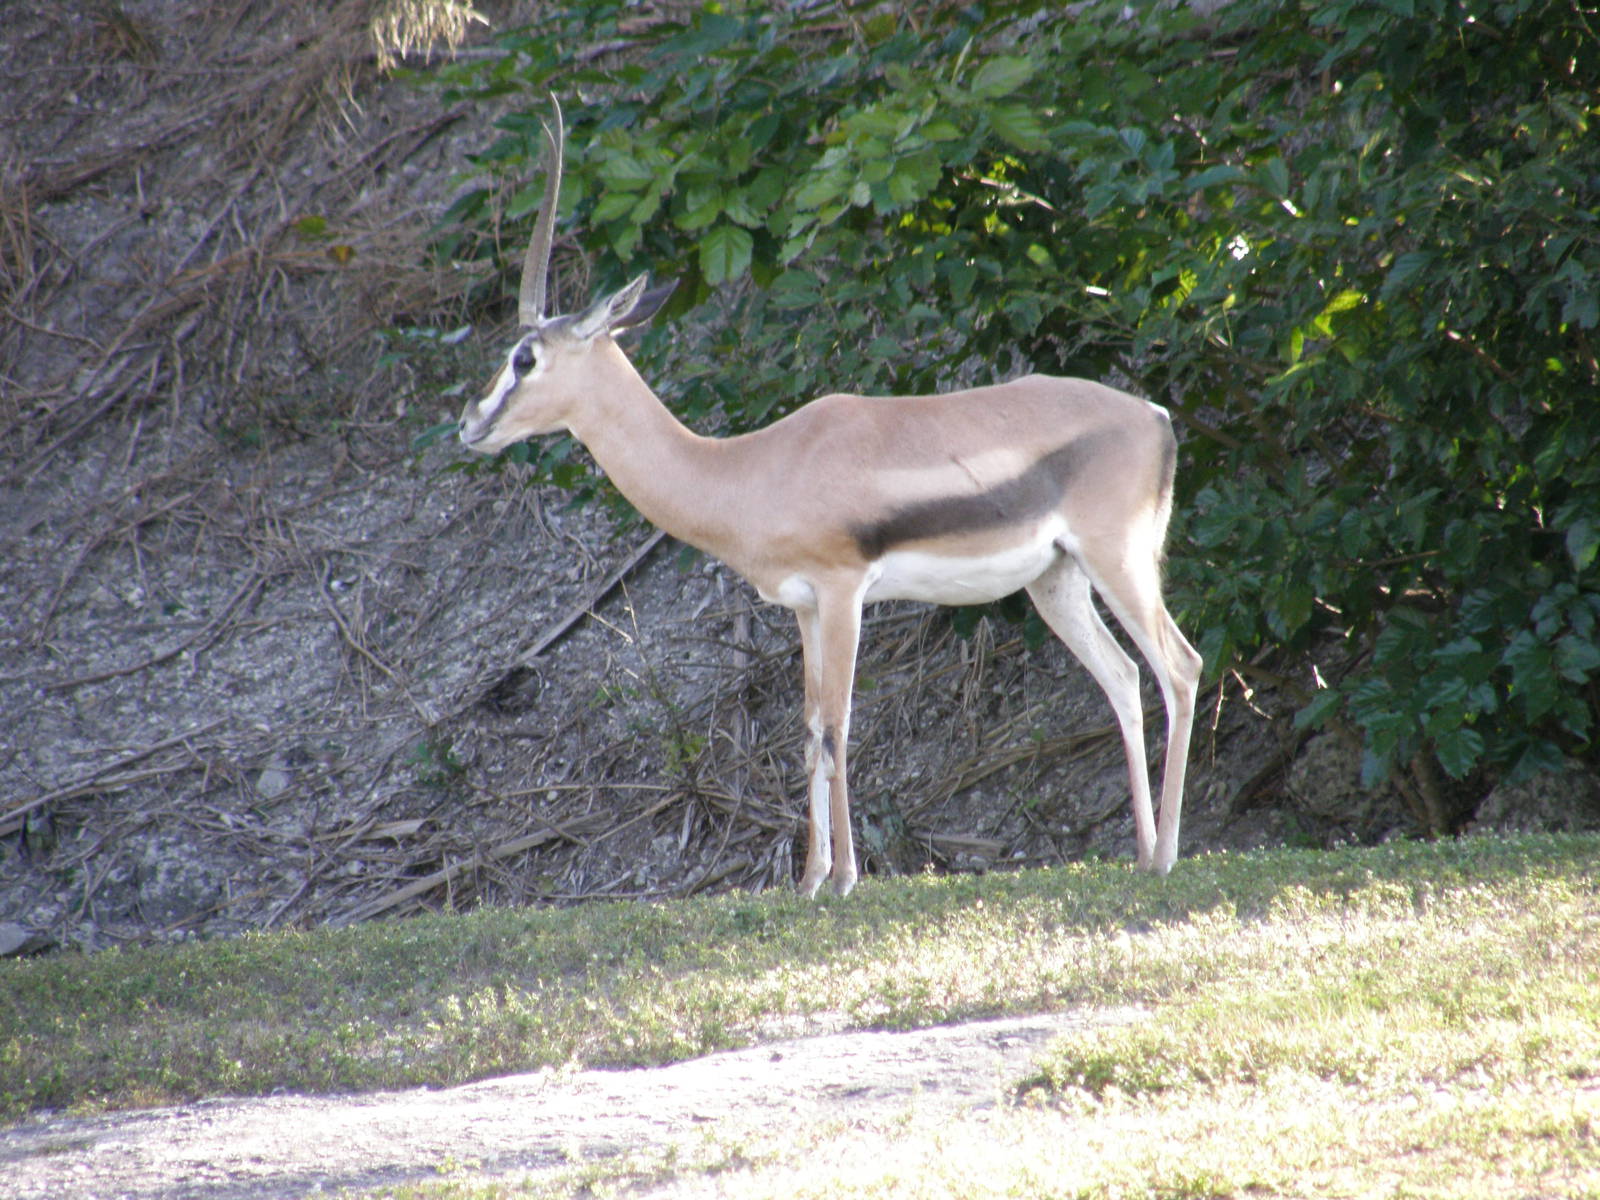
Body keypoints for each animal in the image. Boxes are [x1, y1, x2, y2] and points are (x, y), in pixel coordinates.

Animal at [458, 100, 1203, 898]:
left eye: (525, 357)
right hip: (1056, 580)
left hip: (1117, 559)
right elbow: (810, 725)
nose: (470, 424)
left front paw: (845, 877)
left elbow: (841, 724)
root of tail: (1154, 416)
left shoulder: (844, 592)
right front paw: (811, 880)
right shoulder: (805, 609)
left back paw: (1167, 854)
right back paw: (1140, 853)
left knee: (1179, 668)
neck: (747, 468)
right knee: (1123, 677)